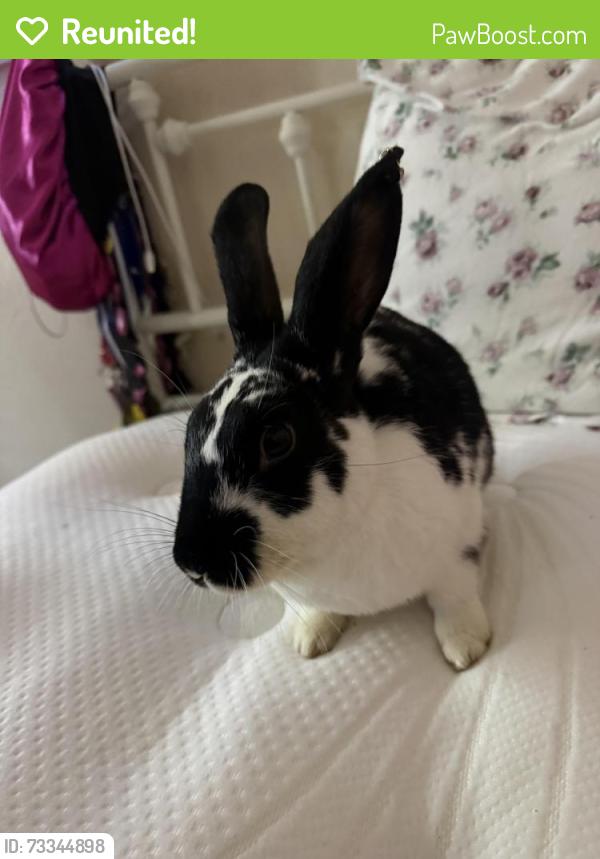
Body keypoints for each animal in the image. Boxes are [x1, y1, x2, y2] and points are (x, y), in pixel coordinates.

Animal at [173, 146, 493, 670]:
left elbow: (454, 592)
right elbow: (315, 611)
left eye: (277, 439)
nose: (193, 563)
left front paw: (465, 646)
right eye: (188, 433)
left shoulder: (459, 543)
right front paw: (310, 639)